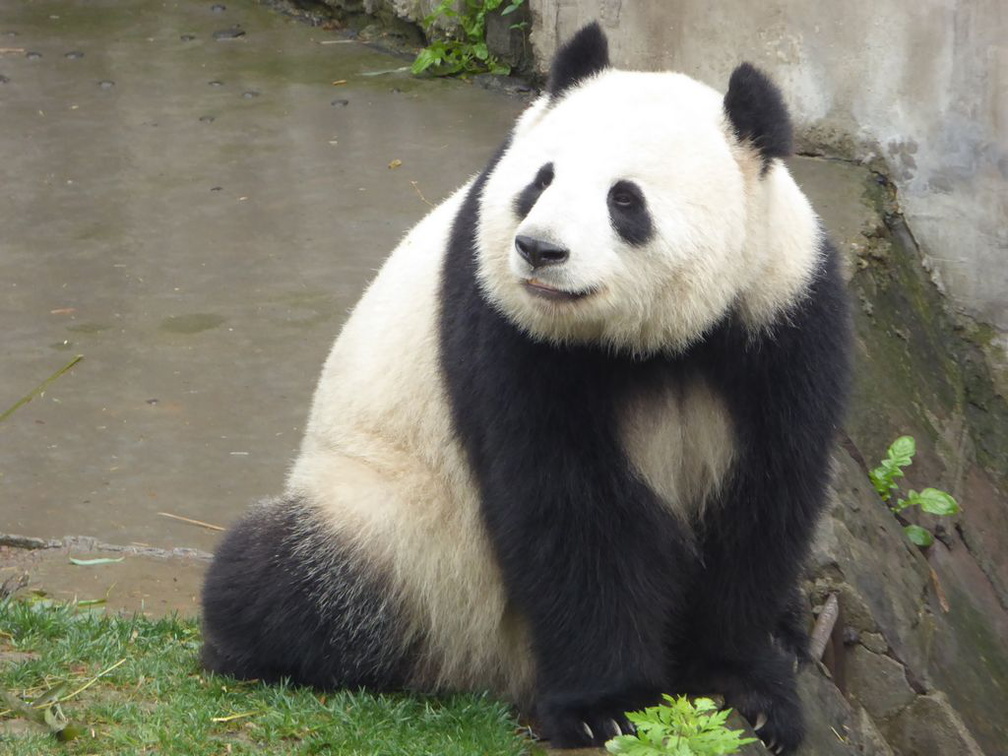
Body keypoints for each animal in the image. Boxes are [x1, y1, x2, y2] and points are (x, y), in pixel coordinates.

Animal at [202, 20, 850, 753]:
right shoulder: (508, 329)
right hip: (402, 538)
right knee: (290, 582)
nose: (540, 250)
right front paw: (606, 707)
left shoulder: (777, 318)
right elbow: (567, 507)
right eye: (540, 181)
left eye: (624, 199)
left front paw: (750, 684)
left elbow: (765, 498)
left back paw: (791, 629)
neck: (648, 343)